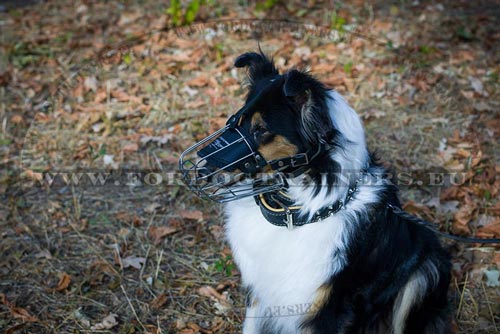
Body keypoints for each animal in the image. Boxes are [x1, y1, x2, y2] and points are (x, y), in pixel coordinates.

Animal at [179, 51, 450, 332]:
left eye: (260, 129)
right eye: (234, 122)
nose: (198, 170)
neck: (295, 211)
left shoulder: (325, 310)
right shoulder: (259, 293)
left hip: (428, 270)